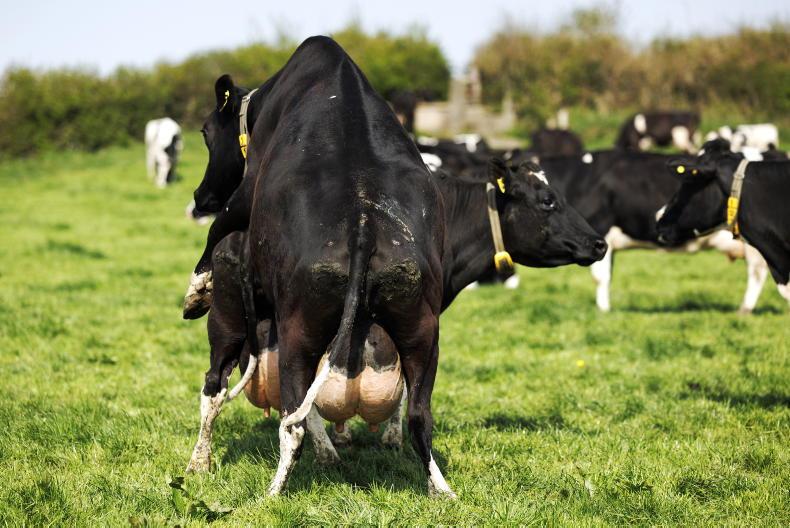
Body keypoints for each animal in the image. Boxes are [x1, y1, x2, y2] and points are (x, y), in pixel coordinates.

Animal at [181, 36, 606, 497]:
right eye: (549, 201)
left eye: (205, 133)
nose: (599, 242)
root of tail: (364, 221)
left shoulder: (247, 186)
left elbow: (217, 225)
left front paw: (196, 287)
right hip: (417, 325)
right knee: (417, 413)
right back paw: (436, 487)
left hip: (267, 324)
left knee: (250, 399)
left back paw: (244, 481)